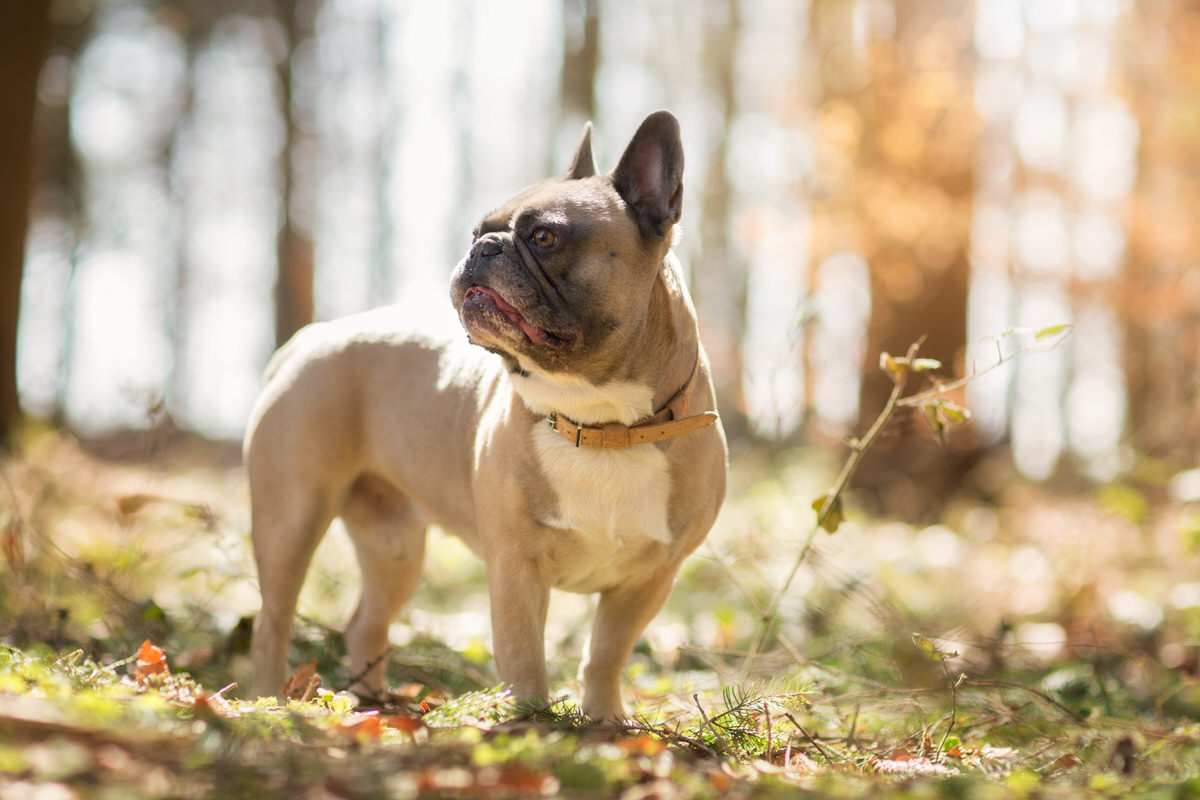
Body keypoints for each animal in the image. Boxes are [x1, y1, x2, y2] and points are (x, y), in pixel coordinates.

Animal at [243, 110, 724, 719]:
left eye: (544, 237)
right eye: (477, 232)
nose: (483, 248)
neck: (599, 423)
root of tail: (306, 340)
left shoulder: (648, 578)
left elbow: (606, 654)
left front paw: (604, 720)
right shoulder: (516, 567)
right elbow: (523, 656)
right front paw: (533, 719)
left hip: (394, 544)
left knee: (364, 625)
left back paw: (371, 707)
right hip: (293, 515)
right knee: (273, 619)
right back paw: (266, 699)